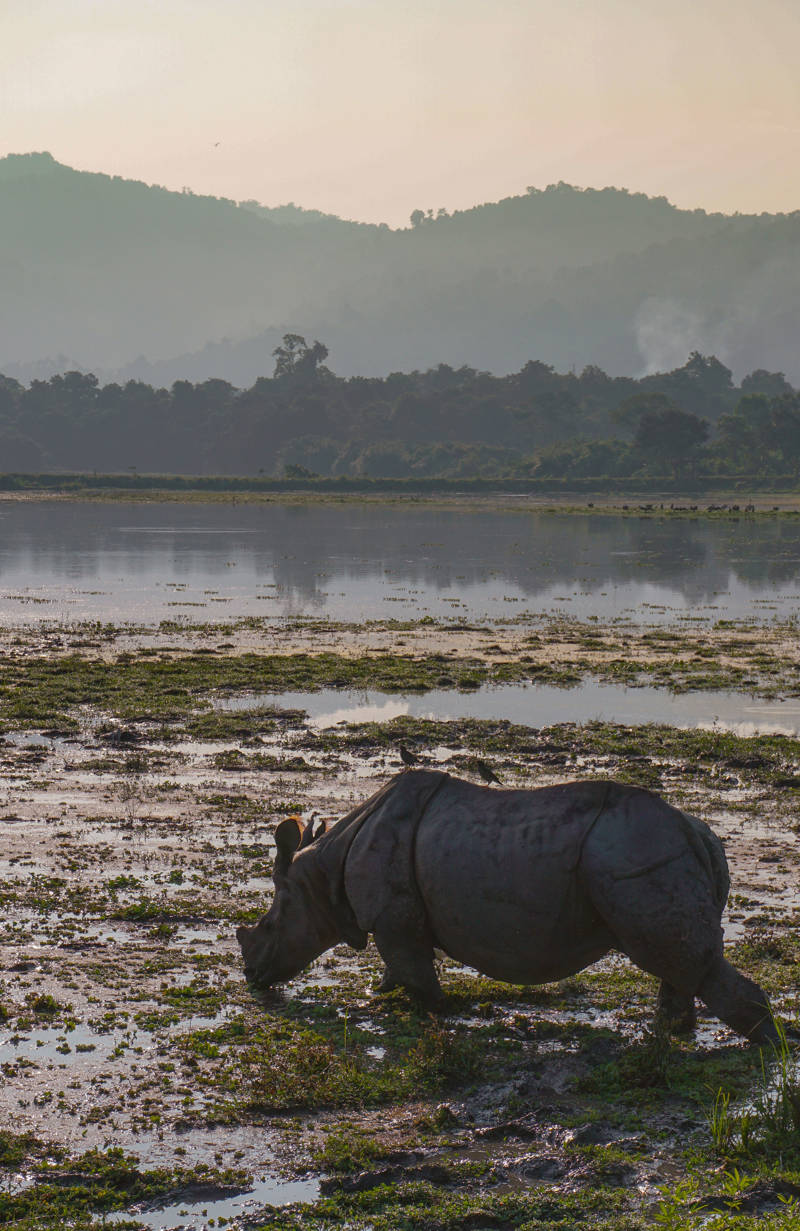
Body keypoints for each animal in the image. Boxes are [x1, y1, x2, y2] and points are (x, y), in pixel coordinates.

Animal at [237, 770, 777, 1043]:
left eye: (269, 923)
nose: (252, 977)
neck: (321, 873)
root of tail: (698, 833)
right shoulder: (398, 921)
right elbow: (400, 968)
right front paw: (381, 994)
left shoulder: (392, 919)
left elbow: (417, 974)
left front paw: (434, 1013)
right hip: (657, 850)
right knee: (679, 964)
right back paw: (668, 1035)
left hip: (637, 852)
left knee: (678, 959)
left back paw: (767, 1058)